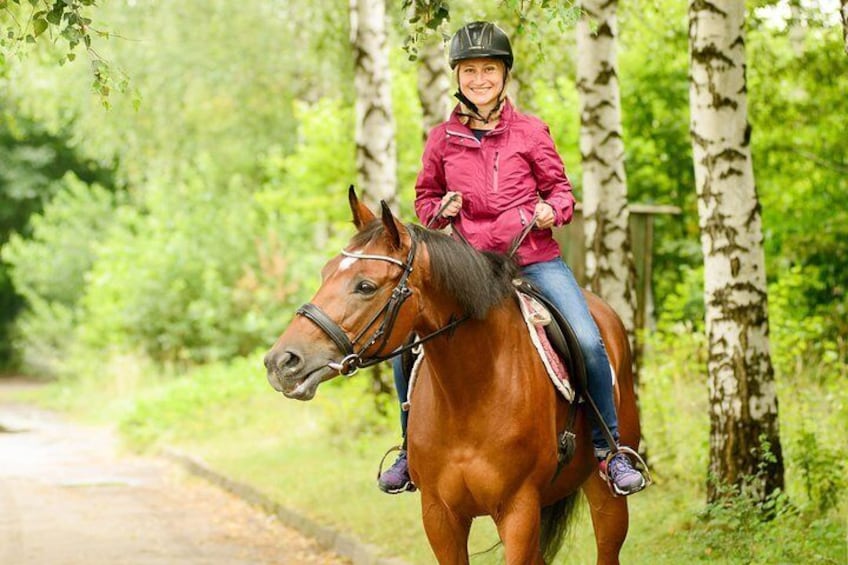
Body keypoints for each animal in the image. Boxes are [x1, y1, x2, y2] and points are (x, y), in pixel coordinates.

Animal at [264, 187, 644, 560]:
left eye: (366, 286)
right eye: (326, 272)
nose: (281, 362)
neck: (471, 393)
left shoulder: (519, 512)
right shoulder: (439, 516)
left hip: (605, 495)